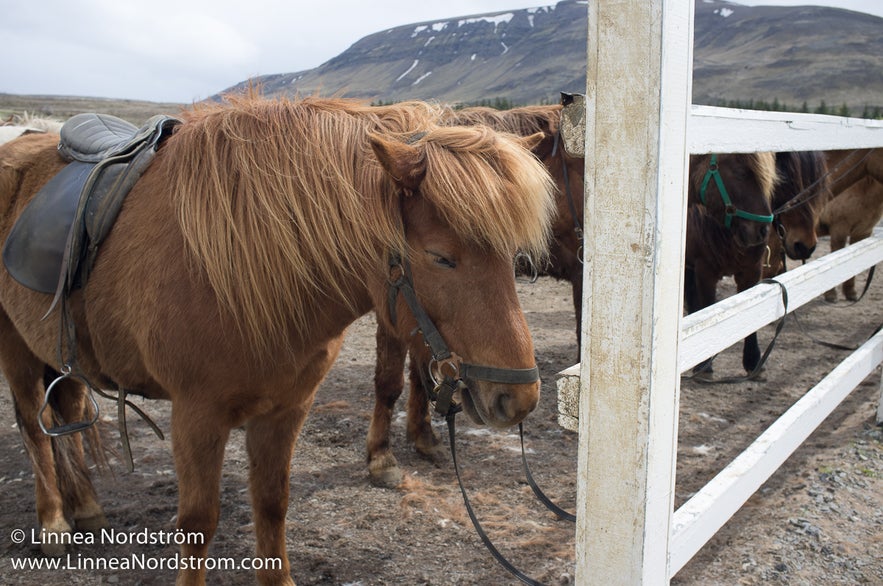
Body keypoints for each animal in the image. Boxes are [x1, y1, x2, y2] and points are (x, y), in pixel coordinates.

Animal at [0, 93, 552, 580]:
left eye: (511, 256)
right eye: (440, 257)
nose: (519, 399)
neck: (235, 268)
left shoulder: (286, 409)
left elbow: (271, 505)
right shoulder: (196, 416)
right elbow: (198, 524)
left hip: (61, 355)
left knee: (67, 413)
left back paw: (87, 508)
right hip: (18, 351)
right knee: (34, 427)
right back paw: (53, 523)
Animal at [364, 104, 580, 484]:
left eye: (513, 254)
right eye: (440, 257)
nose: (519, 399)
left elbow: (421, 375)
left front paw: (424, 437)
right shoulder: (391, 309)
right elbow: (389, 380)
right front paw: (381, 456)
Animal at [688, 149, 776, 374]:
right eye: (740, 173)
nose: (763, 230)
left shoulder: (752, 271)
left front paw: (753, 360)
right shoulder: (704, 270)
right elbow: (706, 308)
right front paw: (704, 365)